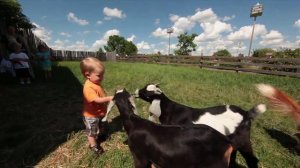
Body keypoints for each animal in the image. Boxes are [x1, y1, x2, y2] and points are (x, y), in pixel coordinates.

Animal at [135, 84, 266, 168]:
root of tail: (246, 113)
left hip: (243, 139)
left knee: (252, 159)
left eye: (146, 92)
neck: (171, 110)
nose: (135, 92)